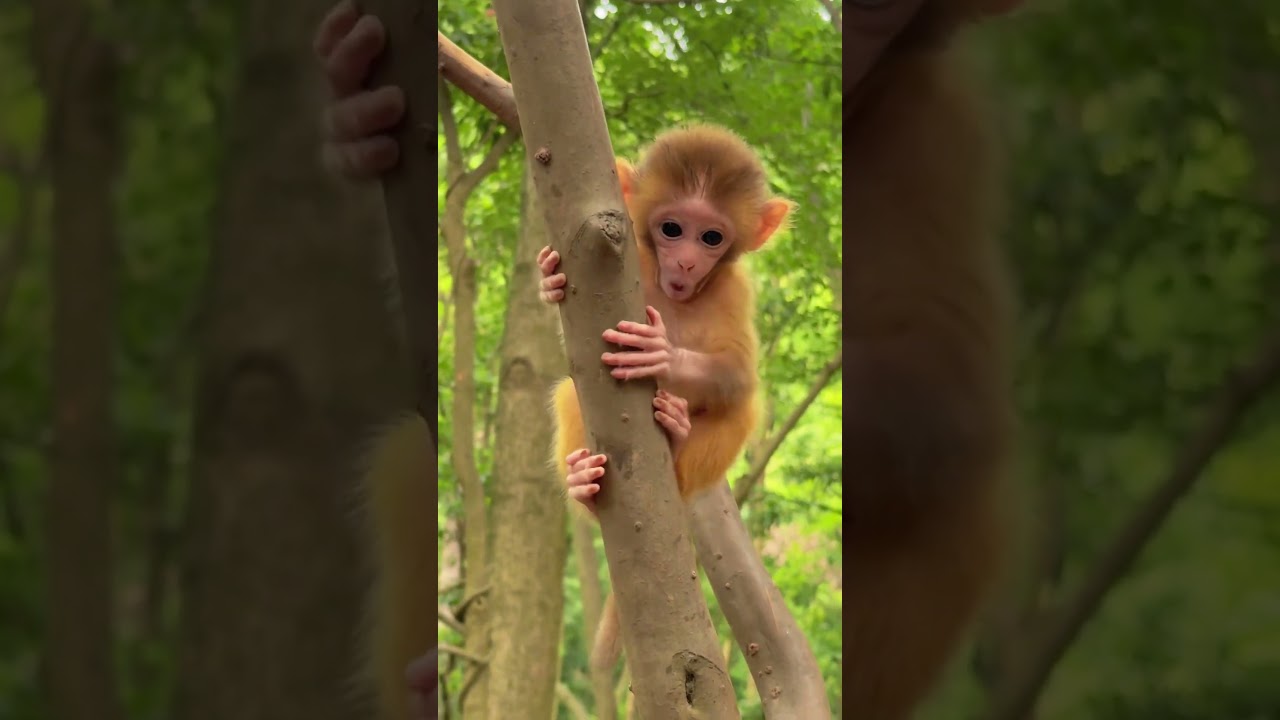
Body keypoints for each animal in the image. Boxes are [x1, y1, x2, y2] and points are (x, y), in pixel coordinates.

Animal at [537, 124, 796, 669]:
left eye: (711, 237)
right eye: (672, 229)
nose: (687, 261)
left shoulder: (735, 290)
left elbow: (739, 375)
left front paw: (661, 354)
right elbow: (573, 351)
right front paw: (549, 281)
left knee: (743, 408)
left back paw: (676, 435)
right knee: (571, 392)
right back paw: (583, 485)